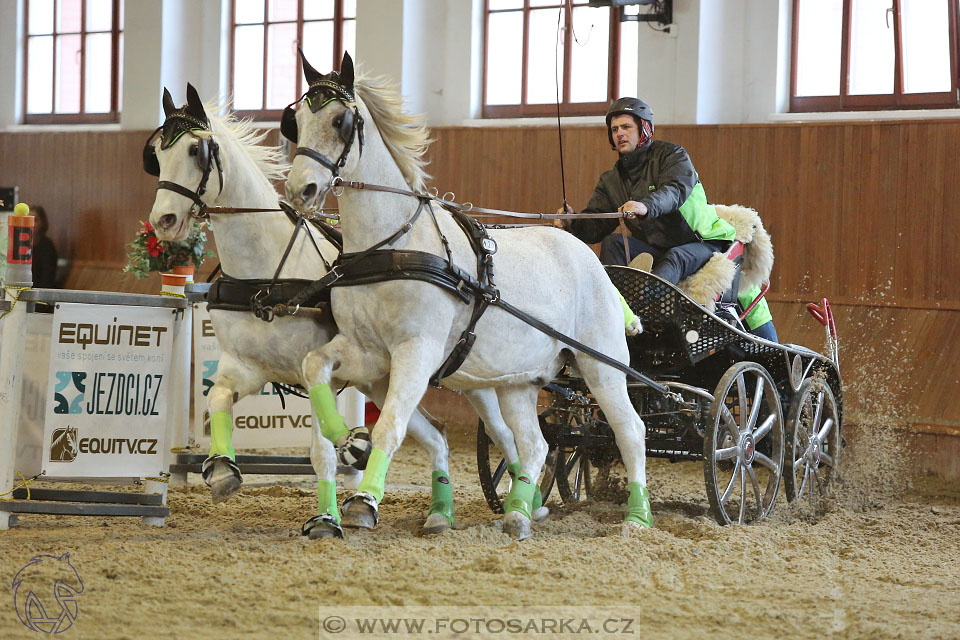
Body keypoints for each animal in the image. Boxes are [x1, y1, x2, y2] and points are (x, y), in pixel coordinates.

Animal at [145, 82, 454, 536]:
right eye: (156, 154)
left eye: (195, 150)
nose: (163, 220)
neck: (265, 275)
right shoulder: (246, 367)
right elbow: (216, 398)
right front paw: (221, 469)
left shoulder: (314, 376)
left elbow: (322, 452)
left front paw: (337, 489)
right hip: (382, 378)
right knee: (434, 435)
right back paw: (439, 513)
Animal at [284, 52, 652, 536]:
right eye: (295, 121)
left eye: (340, 120)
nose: (299, 189)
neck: (390, 247)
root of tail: (595, 265)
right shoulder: (369, 353)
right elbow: (314, 364)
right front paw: (341, 437)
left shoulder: (416, 351)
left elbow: (390, 427)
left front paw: (364, 500)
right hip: (520, 380)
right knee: (534, 443)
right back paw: (518, 512)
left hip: (602, 365)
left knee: (630, 430)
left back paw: (637, 517)